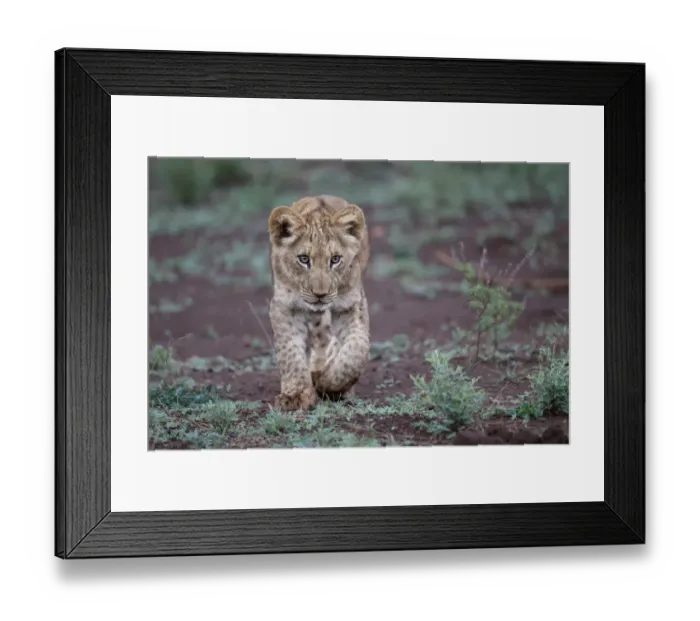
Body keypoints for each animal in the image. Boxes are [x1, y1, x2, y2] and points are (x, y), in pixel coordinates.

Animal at [267, 195, 371, 411]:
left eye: (335, 259)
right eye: (304, 259)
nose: (320, 294)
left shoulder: (352, 305)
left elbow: (357, 349)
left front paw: (329, 384)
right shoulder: (283, 307)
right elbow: (290, 352)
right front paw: (296, 395)